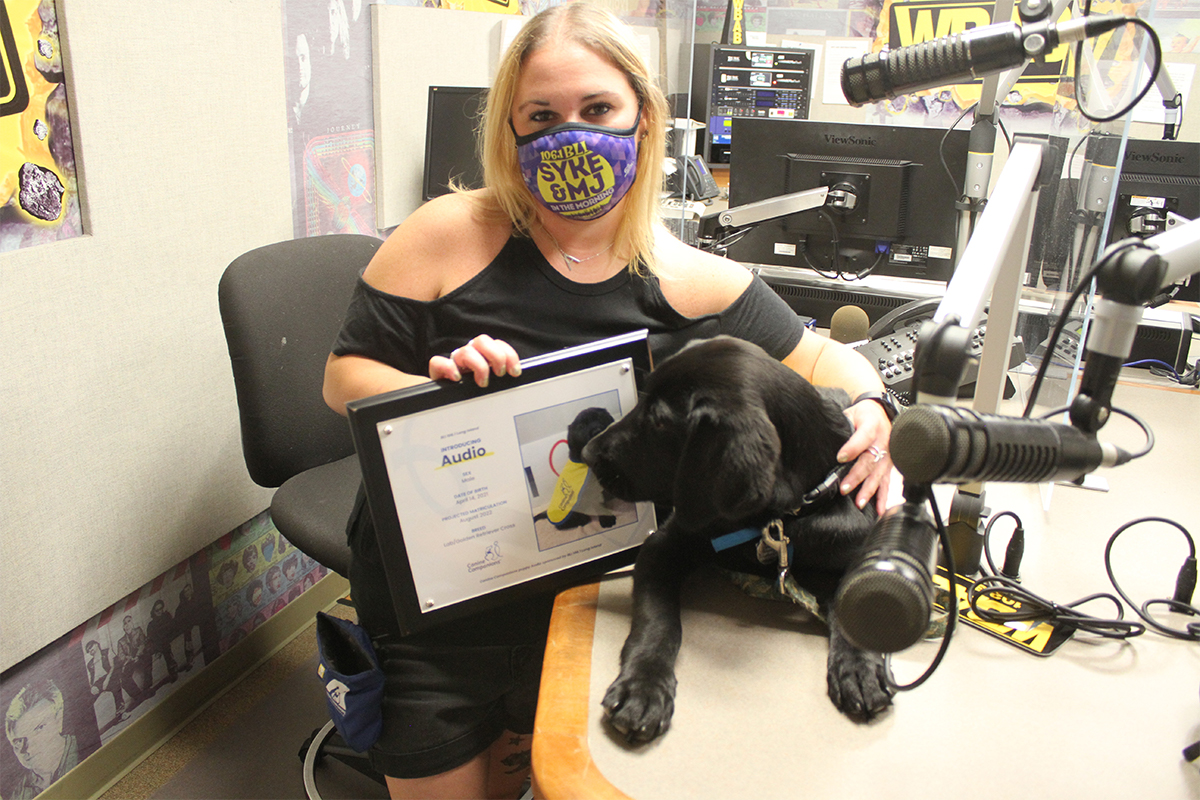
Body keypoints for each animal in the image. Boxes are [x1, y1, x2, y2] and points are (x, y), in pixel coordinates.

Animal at [580, 335, 892, 743]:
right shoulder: (663, 545)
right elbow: (657, 619)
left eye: (659, 421)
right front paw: (642, 687)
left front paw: (859, 667)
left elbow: (856, 606)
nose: (586, 454)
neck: (777, 520)